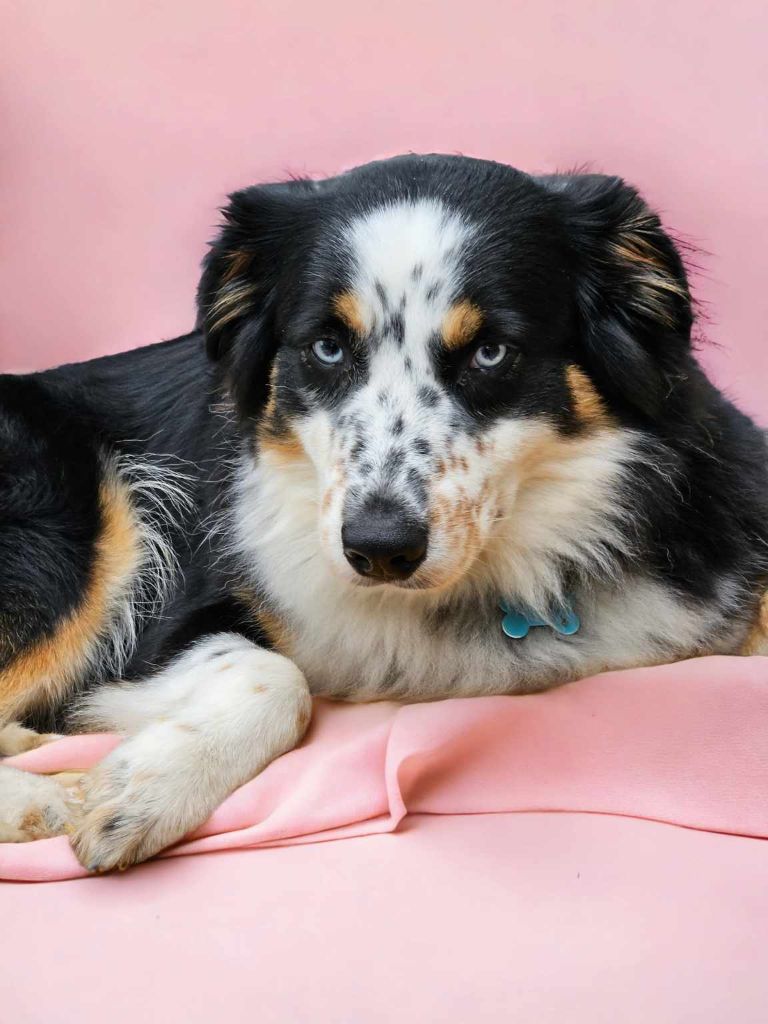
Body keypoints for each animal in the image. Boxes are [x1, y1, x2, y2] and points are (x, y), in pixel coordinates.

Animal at [0, 153, 765, 872]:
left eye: (491, 351)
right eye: (327, 346)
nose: (379, 549)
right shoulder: (166, 624)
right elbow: (280, 676)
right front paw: (142, 789)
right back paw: (43, 796)